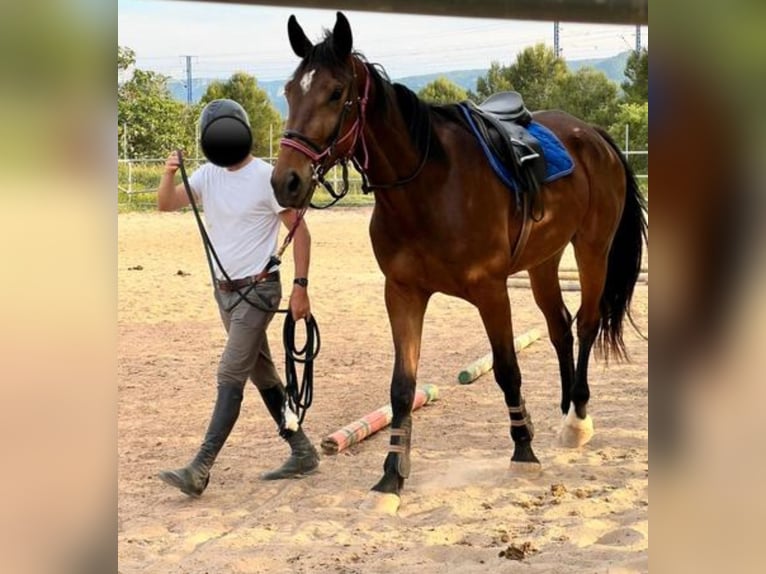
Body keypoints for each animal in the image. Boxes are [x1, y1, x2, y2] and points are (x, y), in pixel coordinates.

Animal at [271, 12, 647, 513]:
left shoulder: (491, 290)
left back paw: (577, 420)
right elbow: (402, 387)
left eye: (335, 92)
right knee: (560, 327)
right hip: (543, 261)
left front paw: (523, 451)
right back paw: (566, 406)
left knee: (586, 323)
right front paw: (391, 477)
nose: (286, 182)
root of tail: (593, 135)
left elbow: (507, 368)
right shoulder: (402, 293)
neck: (428, 187)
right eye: (291, 90)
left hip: (591, 250)